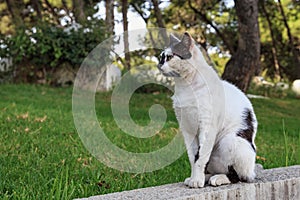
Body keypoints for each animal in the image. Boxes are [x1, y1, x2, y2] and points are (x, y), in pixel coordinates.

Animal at [157, 32, 258, 188]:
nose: (159, 63)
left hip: (230, 141)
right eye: (161, 56)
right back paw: (208, 177)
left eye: (169, 57)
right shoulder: (187, 129)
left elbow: (200, 158)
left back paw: (218, 179)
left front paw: (197, 181)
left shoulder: (207, 127)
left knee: (239, 176)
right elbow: (193, 158)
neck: (185, 85)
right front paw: (194, 178)